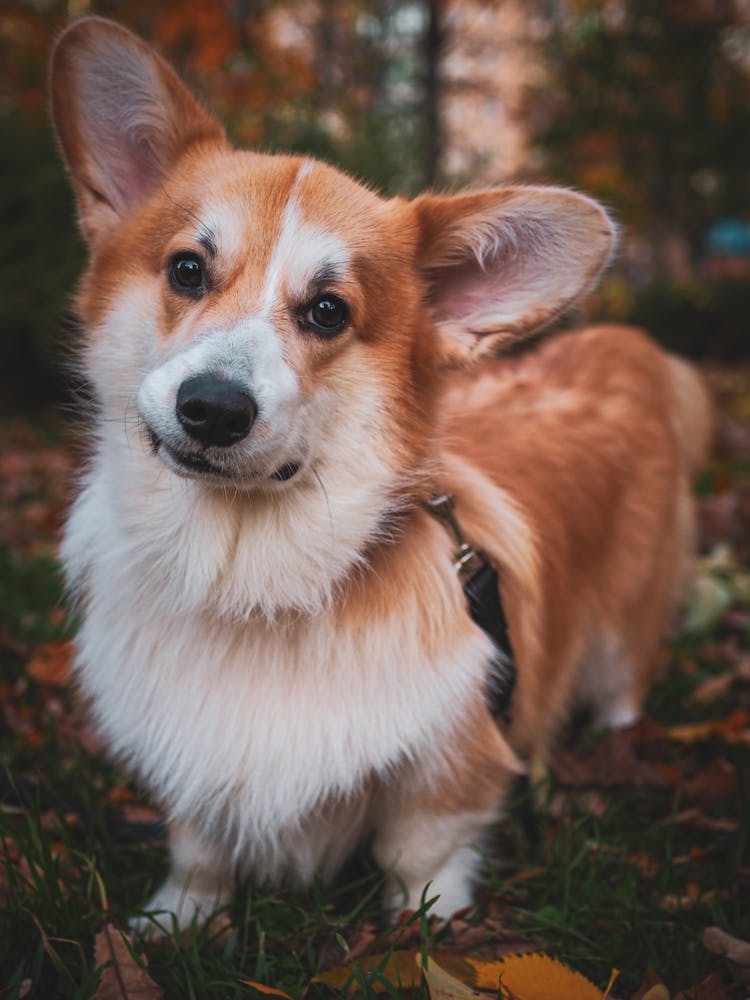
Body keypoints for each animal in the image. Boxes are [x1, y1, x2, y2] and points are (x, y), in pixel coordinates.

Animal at [51, 15, 712, 932]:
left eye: (329, 311)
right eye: (186, 269)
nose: (212, 408)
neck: (244, 577)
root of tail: (625, 345)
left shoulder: (454, 761)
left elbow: (419, 855)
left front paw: (425, 931)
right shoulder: (189, 762)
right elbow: (198, 848)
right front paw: (174, 921)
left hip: (624, 632)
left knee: (622, 685)